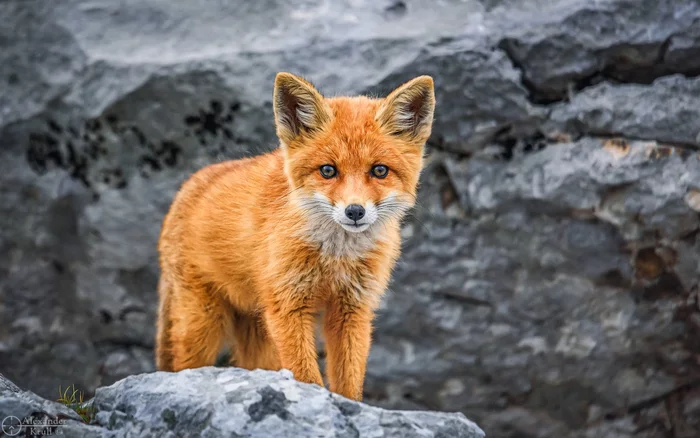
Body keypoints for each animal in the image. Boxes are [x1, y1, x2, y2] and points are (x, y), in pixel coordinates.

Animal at [156, 72, 434, 400]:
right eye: (328, 170)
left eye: (379, 171)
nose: (354, 211)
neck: (335, 258)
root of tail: (188, 187)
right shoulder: (288, 307)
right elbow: (306, 377)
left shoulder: (352, 309)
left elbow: (349, 382)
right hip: (203, 325)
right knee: (183, 364)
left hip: (258, 336)